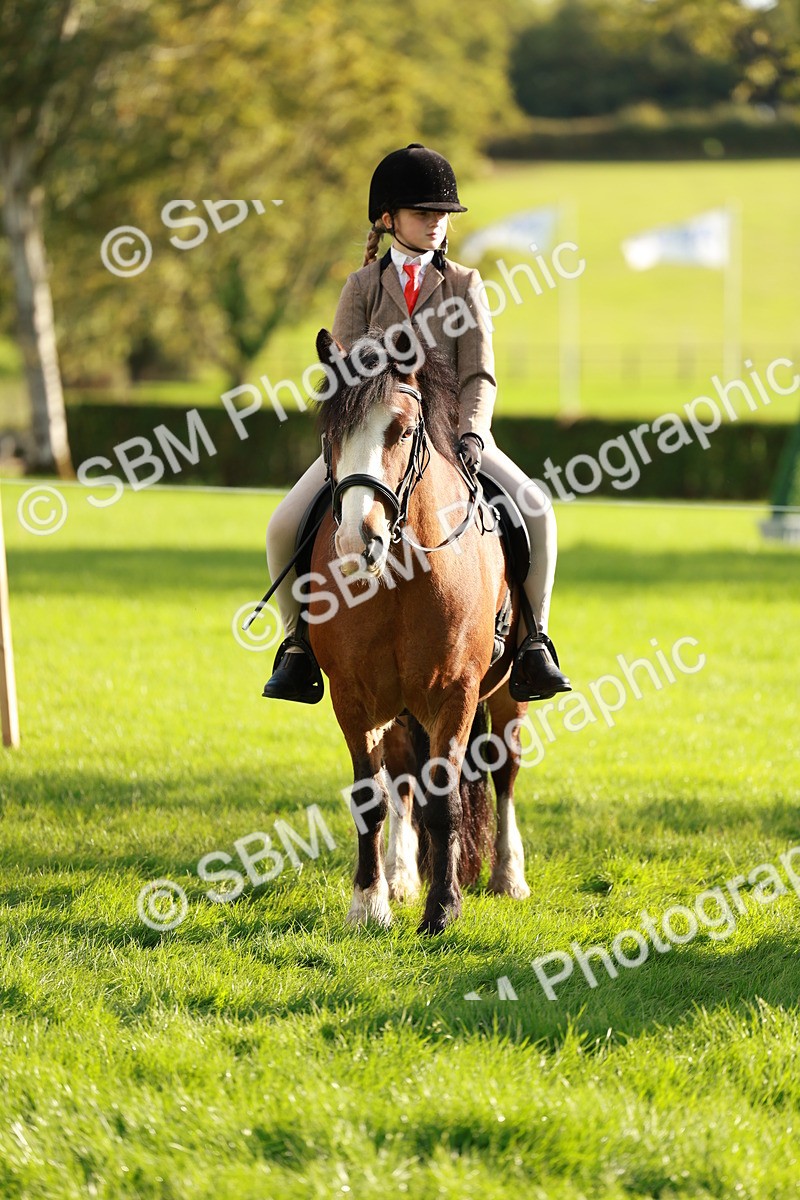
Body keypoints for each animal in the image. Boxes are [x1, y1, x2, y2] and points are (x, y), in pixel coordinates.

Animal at [309, 326, 531, 934]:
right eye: (329, 432)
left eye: (404, 429)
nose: (355, 542)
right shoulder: (353, 697)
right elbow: (371, 798)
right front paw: (370, 904)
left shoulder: (455, 695)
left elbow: (446, 803)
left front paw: (443, 909)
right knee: (403, 776)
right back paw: (402, 875)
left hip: (507, 696)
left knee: (504, 772)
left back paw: (508, 876)